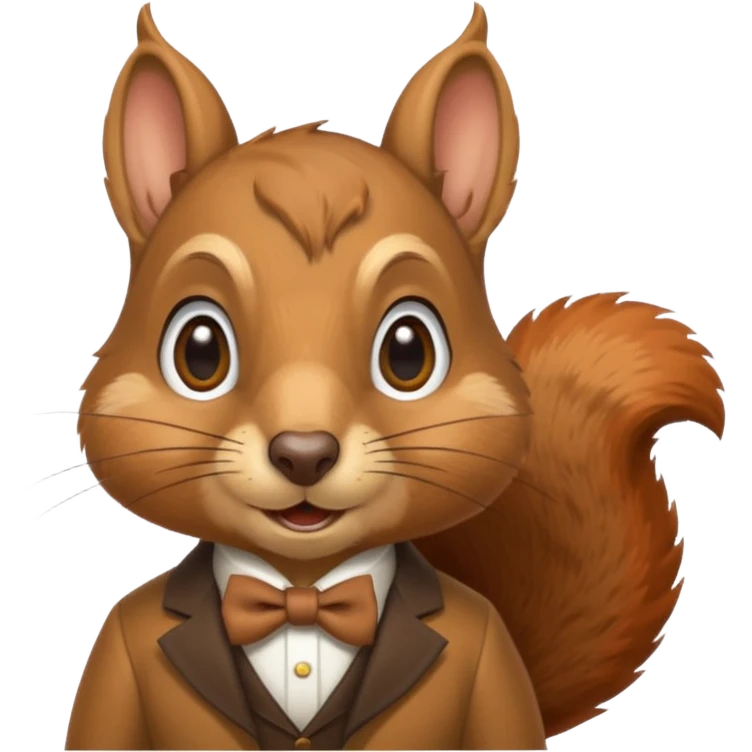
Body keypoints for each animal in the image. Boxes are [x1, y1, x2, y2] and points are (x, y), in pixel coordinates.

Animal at [60, 2, 726, 750]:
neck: (304, 593)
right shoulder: (116, 653)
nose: (304, 452)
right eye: (198, 352)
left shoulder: (490, 653)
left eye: (409, 352)